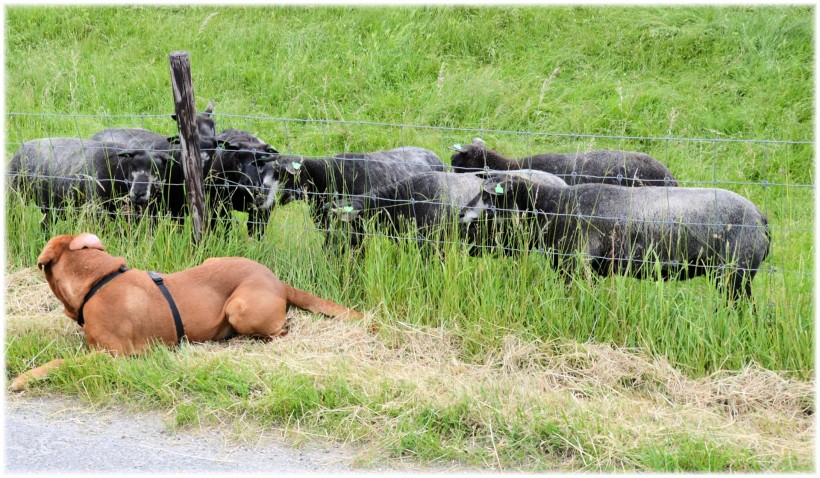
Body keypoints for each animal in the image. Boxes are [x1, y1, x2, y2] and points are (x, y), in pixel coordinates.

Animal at [9, 232, 362, 392]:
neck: (98, 280)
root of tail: (279, 281)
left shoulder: (111, 355)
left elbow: (59, 362)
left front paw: (24, 378)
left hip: (240, 308)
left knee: (282, 329)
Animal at [468, 174, 768, 304]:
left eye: (488, 198)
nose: (462, 214)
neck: (553, 207)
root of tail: (761, 218)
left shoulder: (575, 265)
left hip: (734, 275)